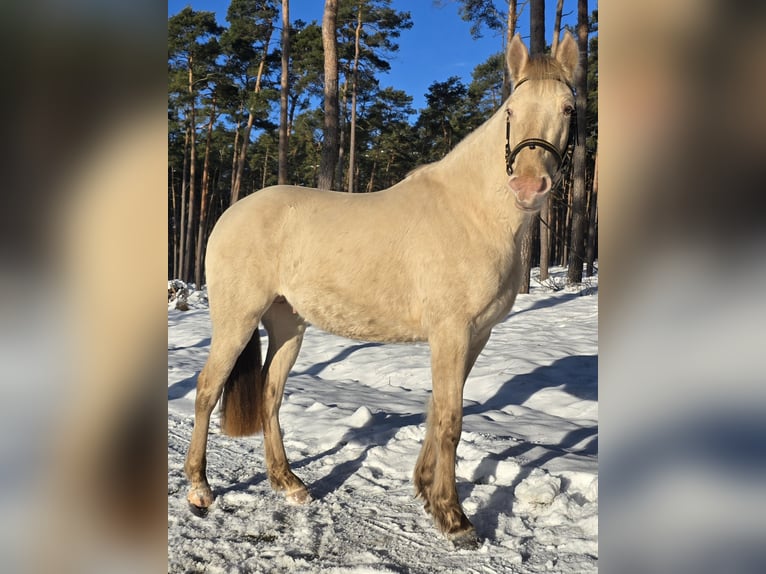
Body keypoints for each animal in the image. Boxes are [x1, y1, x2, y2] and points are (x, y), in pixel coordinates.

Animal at [184, 33, 580, 547]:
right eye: (511, 110)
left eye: (568, 108)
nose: (529, 185)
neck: (472, 212)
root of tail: (229, 214)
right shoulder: (451, 332)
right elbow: (450, 419)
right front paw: (454, 518)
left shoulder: (474, 336)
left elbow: (438, 408)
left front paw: (426, 491)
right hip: (236, 320)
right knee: (207, 390)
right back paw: (199, 490)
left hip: (288, 324)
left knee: (270, 394)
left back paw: (289, 484)